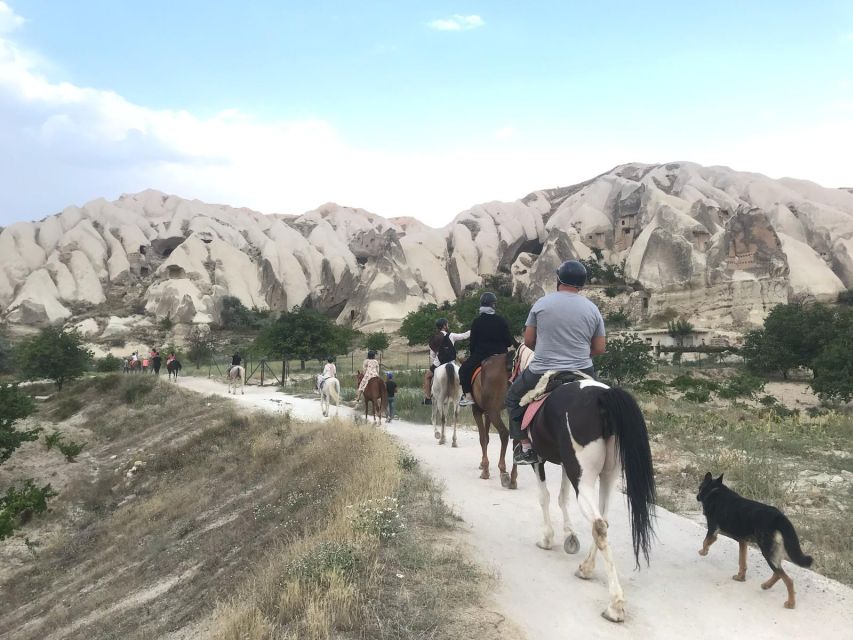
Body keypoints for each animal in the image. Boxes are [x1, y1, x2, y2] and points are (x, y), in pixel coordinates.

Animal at [470, 356, 516, 490]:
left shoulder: (477, 411)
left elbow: (483, 438)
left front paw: (485, 470)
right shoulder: (487, 413)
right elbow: (487, 437)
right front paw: (483, 464)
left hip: (493, 411)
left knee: (504, 434)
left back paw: (503, 472)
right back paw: (513, 479)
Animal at [524, 368, 656, 624]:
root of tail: (602, 398)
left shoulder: (538, 459)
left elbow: (545, 496)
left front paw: (547, 538)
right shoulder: (565, 464)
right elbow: (562, 496)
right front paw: (569, 535)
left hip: (583, 477)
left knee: (598, 524)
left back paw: (615, 604)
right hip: (607, 475)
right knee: (603, 520)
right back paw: (586, 568)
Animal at [692, 472, 812, 608]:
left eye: (699, 487)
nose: (696, 497)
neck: (715, 489)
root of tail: (779, 517)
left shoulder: (713, 530)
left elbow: (705, 541)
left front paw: (703, 552)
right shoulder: (742, 542)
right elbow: (742, 562)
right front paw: (740, 577)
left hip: (767, 552)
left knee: (788, 579)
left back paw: (790, 603)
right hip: (774, 553)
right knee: (778, 573)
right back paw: (766, 585)